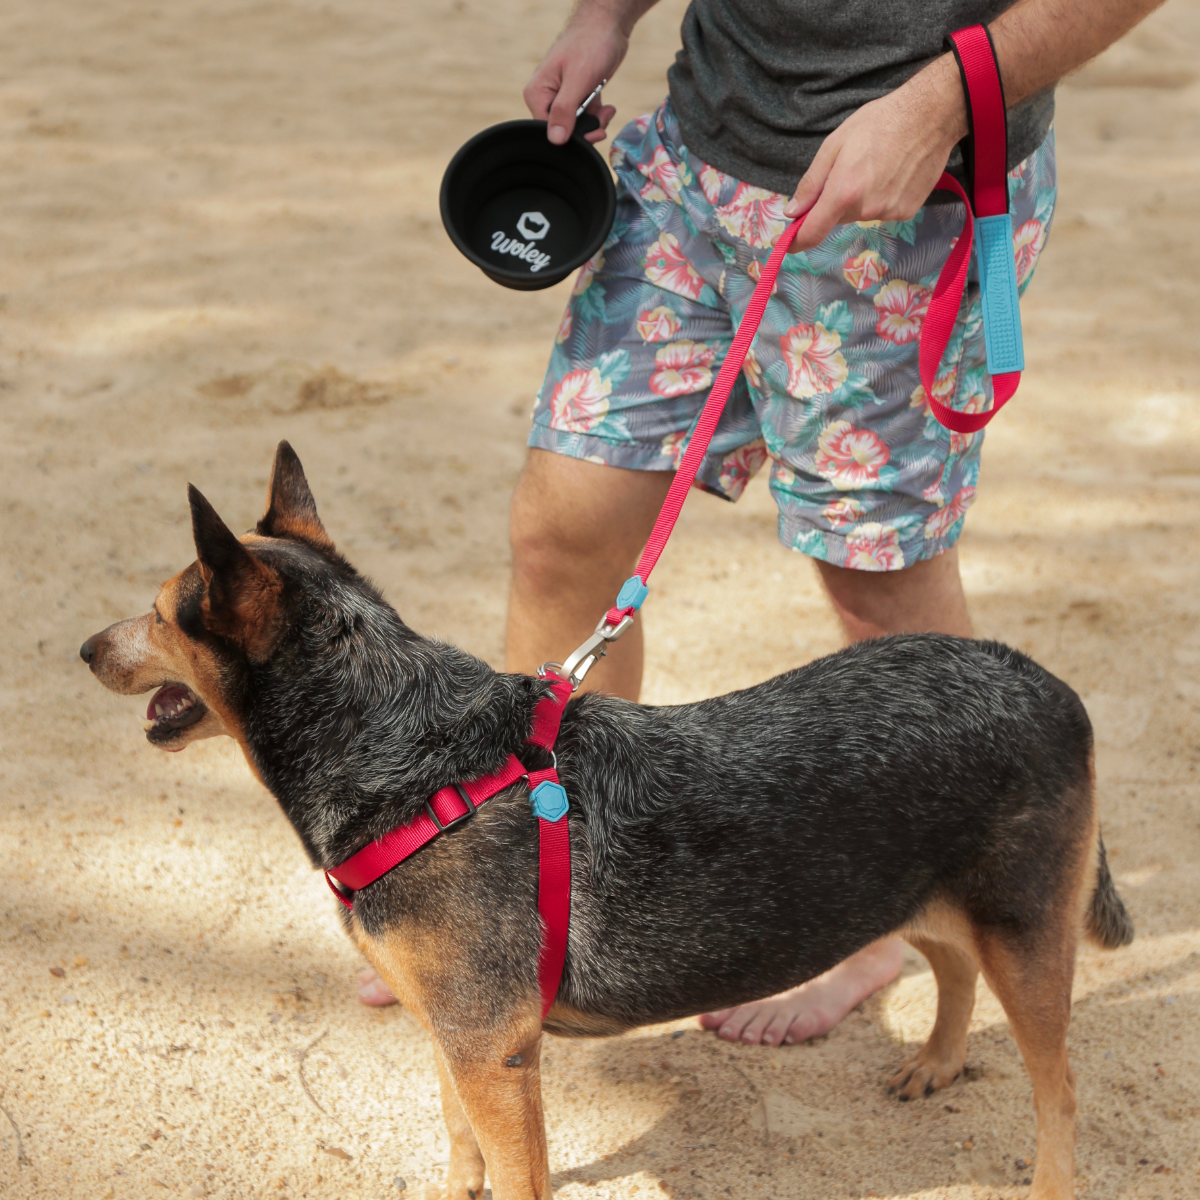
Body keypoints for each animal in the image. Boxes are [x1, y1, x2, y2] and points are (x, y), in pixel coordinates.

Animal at [84, 444, 1132, 1200]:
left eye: (162, 613)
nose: (85, 647)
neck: (404, 745)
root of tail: (1047, 679)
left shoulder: (493, 1053)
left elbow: (513, 1174)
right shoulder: (456, 1038)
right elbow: (459, 1142)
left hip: (1025, 935)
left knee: (1060, 1093)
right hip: (925, 890)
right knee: (949, 962)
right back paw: (939, 1061)